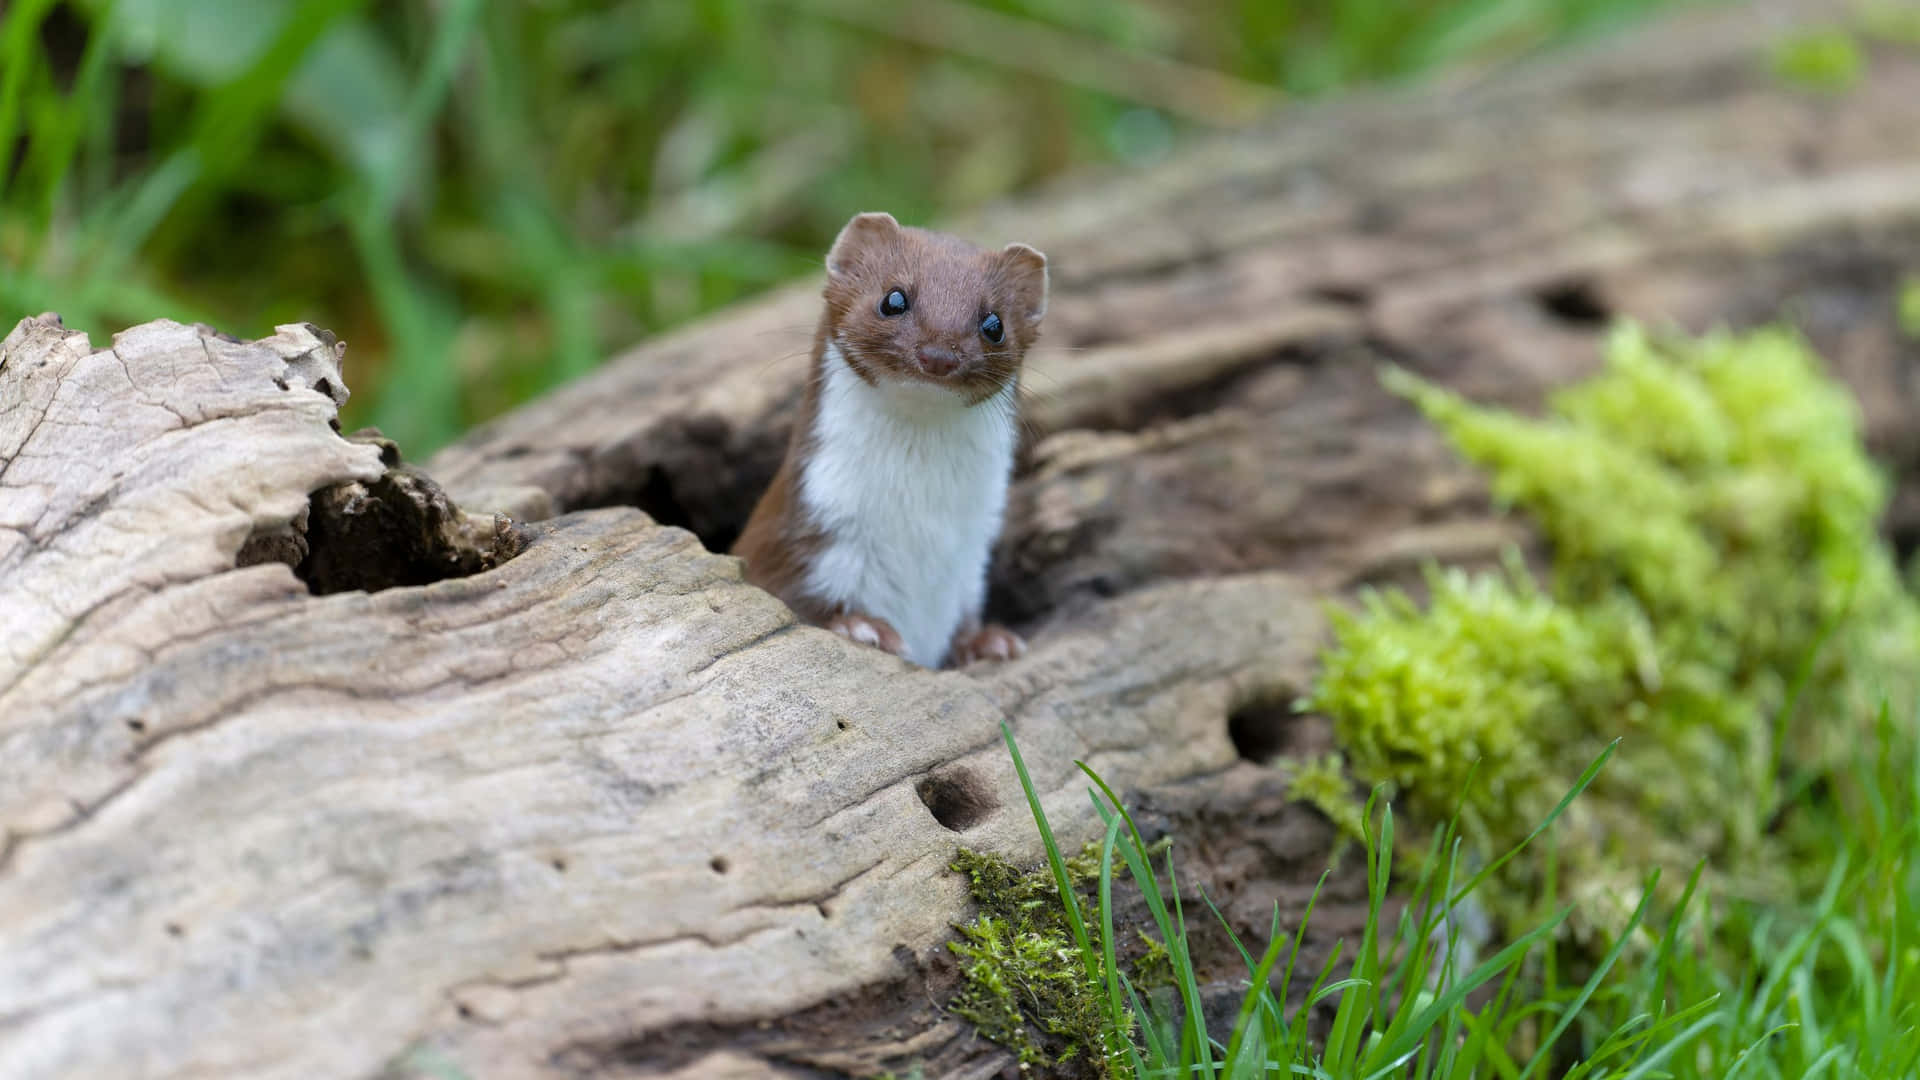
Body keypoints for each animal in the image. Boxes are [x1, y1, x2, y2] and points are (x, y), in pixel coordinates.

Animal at [729, 209, 1052, 664]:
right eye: (893, 299)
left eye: (994, 324)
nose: (939, 354)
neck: (918, 526)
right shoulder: (805, 533)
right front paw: (863, 627)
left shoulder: (971, 556)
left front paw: (988, 642)